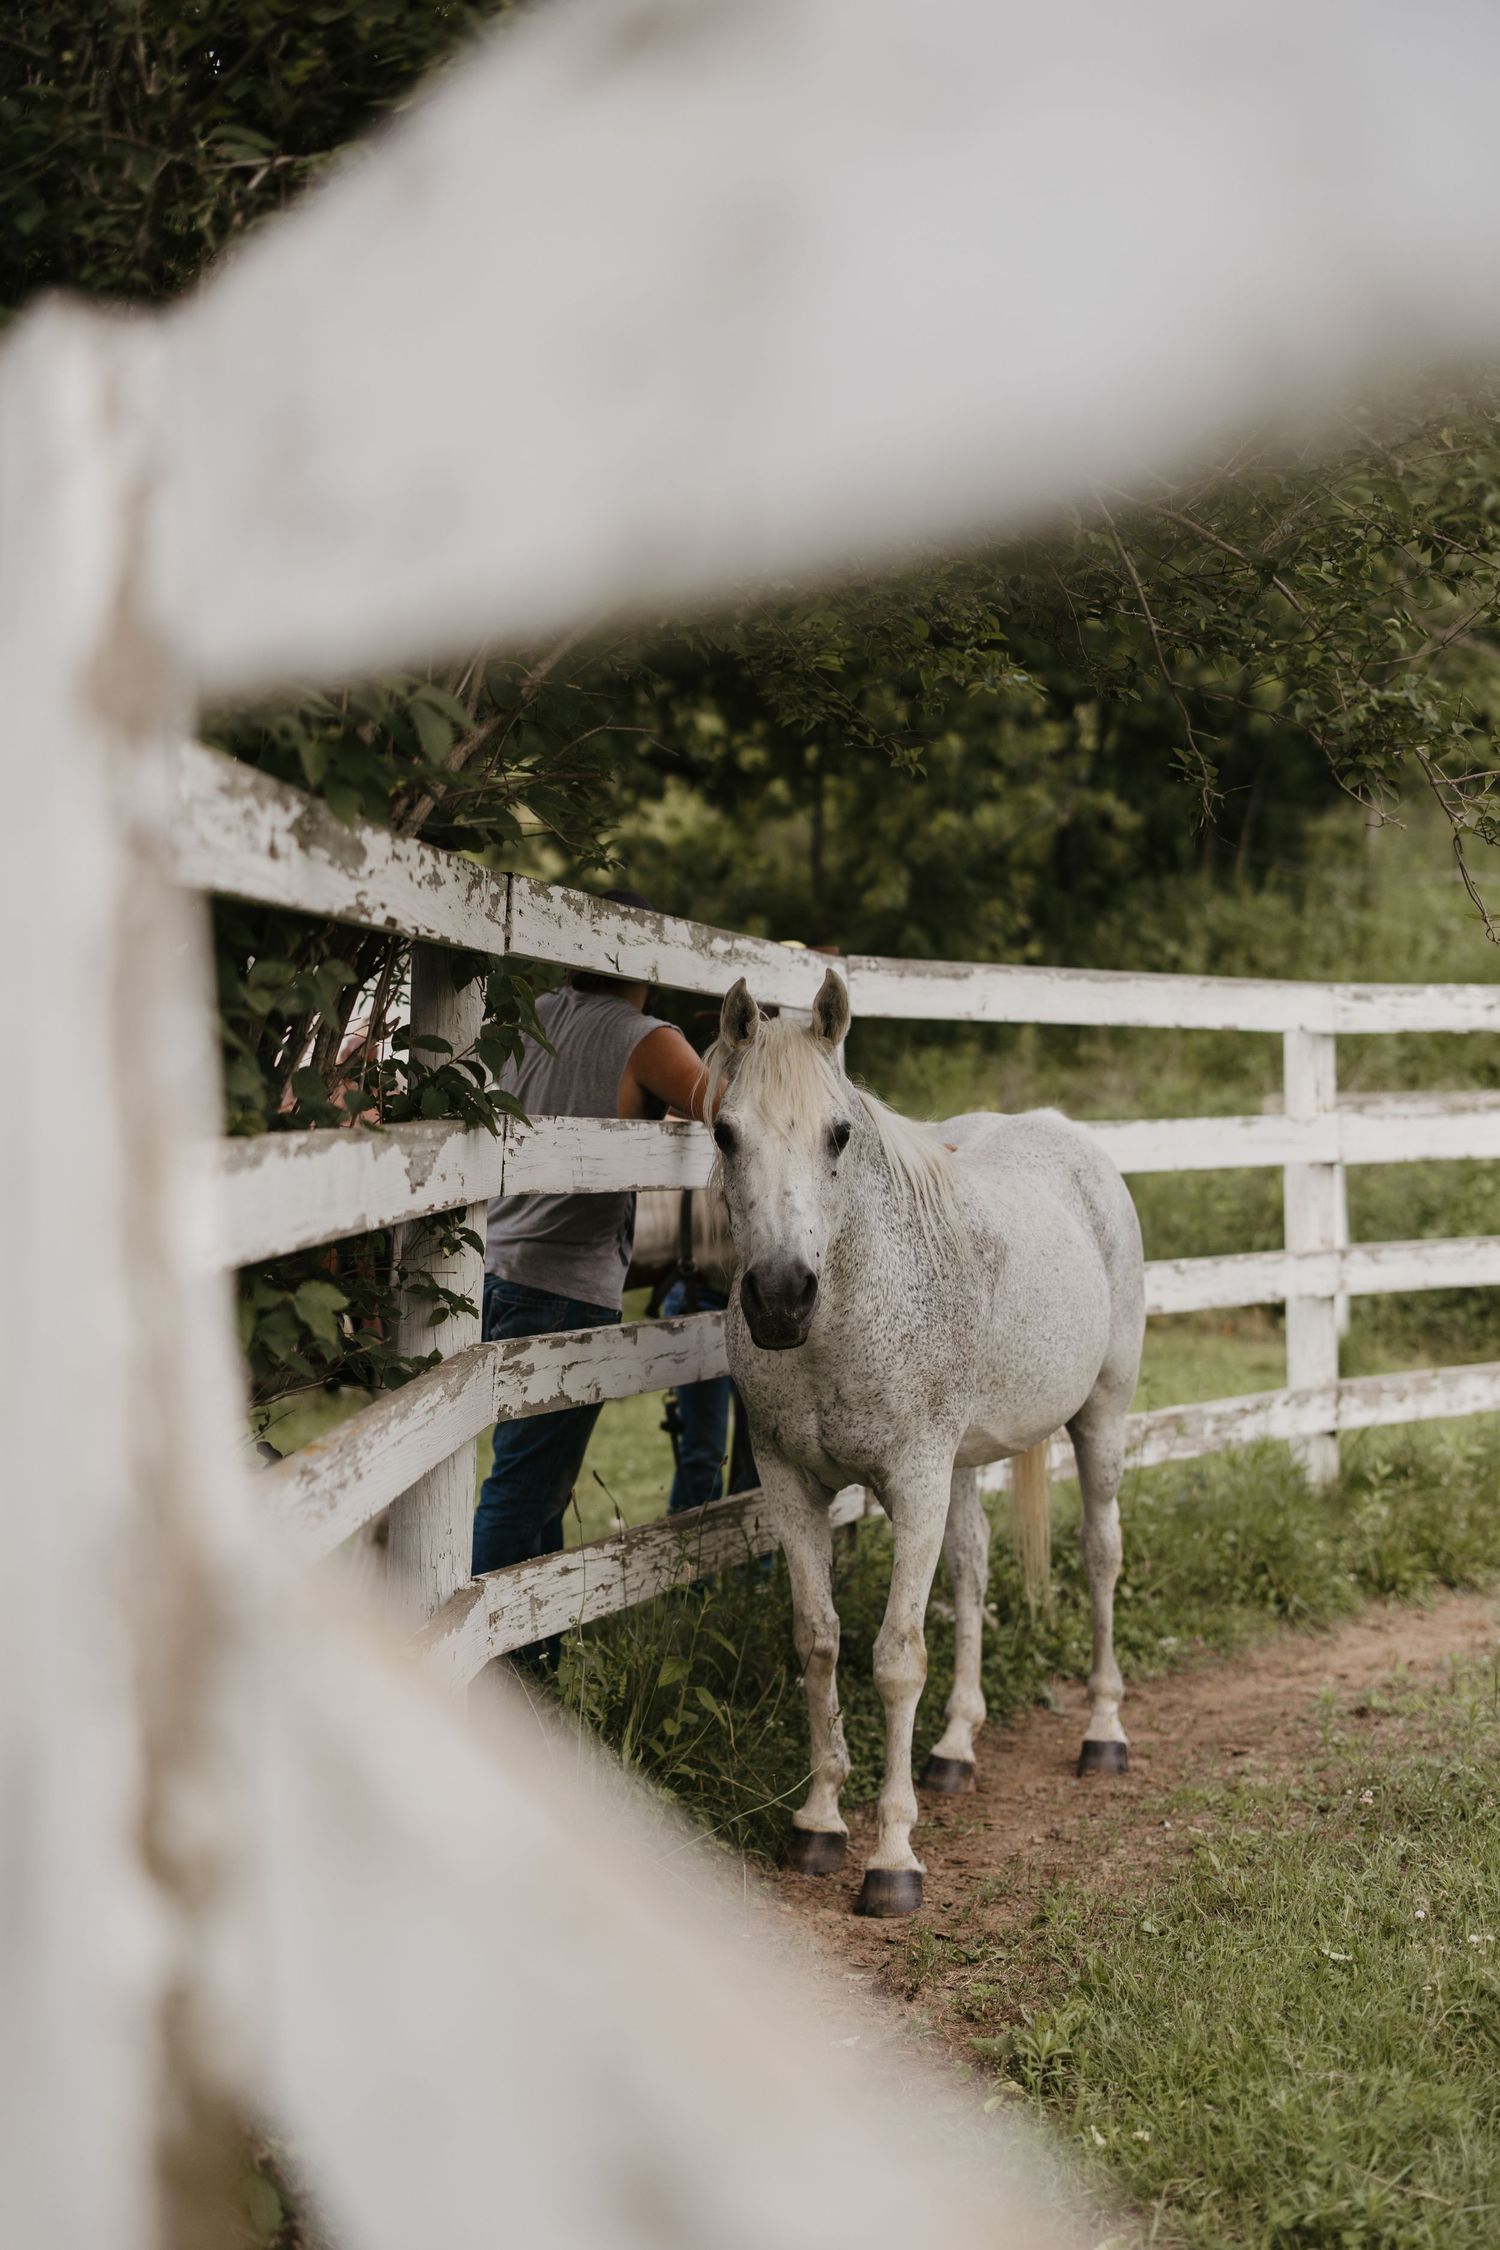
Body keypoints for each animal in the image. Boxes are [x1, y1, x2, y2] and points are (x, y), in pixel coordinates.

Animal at [707, 967, 1146, 1917]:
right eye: (725, 1131)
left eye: (838, 1134)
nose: (780, 1298)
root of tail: (1070, 1141)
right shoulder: (790, 1482)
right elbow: (819, 1639)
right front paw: (820, 1822)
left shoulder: (910, 1481)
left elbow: (896, 1658)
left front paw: (893, 1858)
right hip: (962, 1465)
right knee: (973, 1567)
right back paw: (954, 1750)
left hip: (1100, 1418)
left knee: (1100, 1553)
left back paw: (1103, 1732)